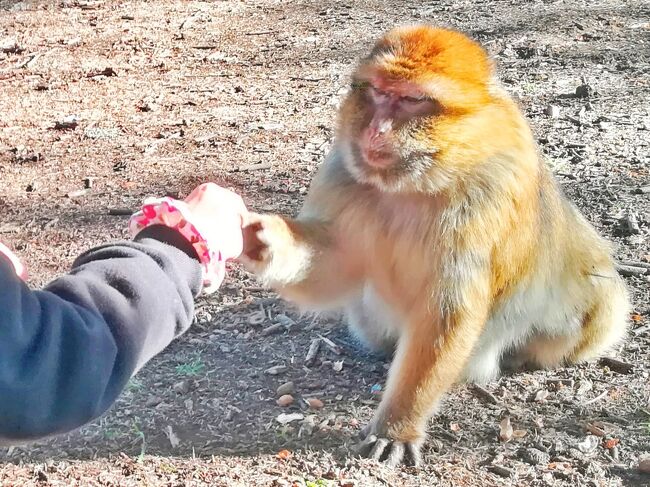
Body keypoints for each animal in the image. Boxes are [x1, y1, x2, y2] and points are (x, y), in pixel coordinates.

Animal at [238, 24, 628, 468]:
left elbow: (446, 312)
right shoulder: (342, 172)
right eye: (377, 92)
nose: (376, 130)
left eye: (411, 100)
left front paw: (397, 426)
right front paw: (263, 239)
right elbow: (338, 264)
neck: (419, 182)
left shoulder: (488, 192)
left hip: (591, 312)